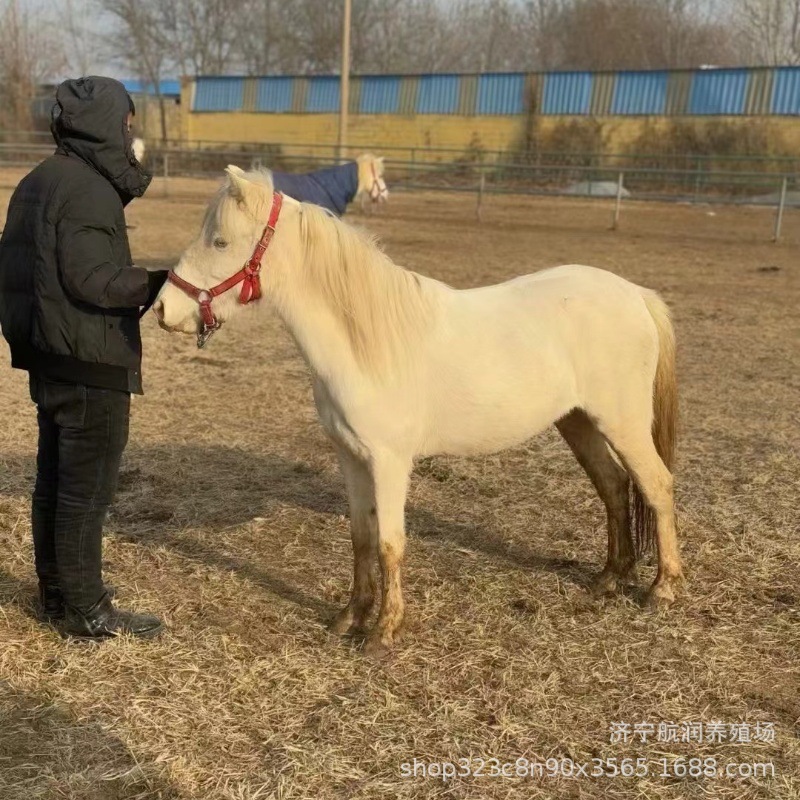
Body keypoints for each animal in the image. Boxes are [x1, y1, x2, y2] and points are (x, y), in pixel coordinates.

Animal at [153, 166, 683, 655]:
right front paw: (350, 617)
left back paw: (663, 589)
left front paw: (383, 632)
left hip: (622, 423)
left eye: (221, 241)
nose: (162, 310)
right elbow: (361, 537)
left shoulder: (389, 462)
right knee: (614, 486)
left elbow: (390, 543)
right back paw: (610, 578)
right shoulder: (350, 458)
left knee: (656, 485)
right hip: (578, 421)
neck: (364, 344)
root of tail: (636, 295)